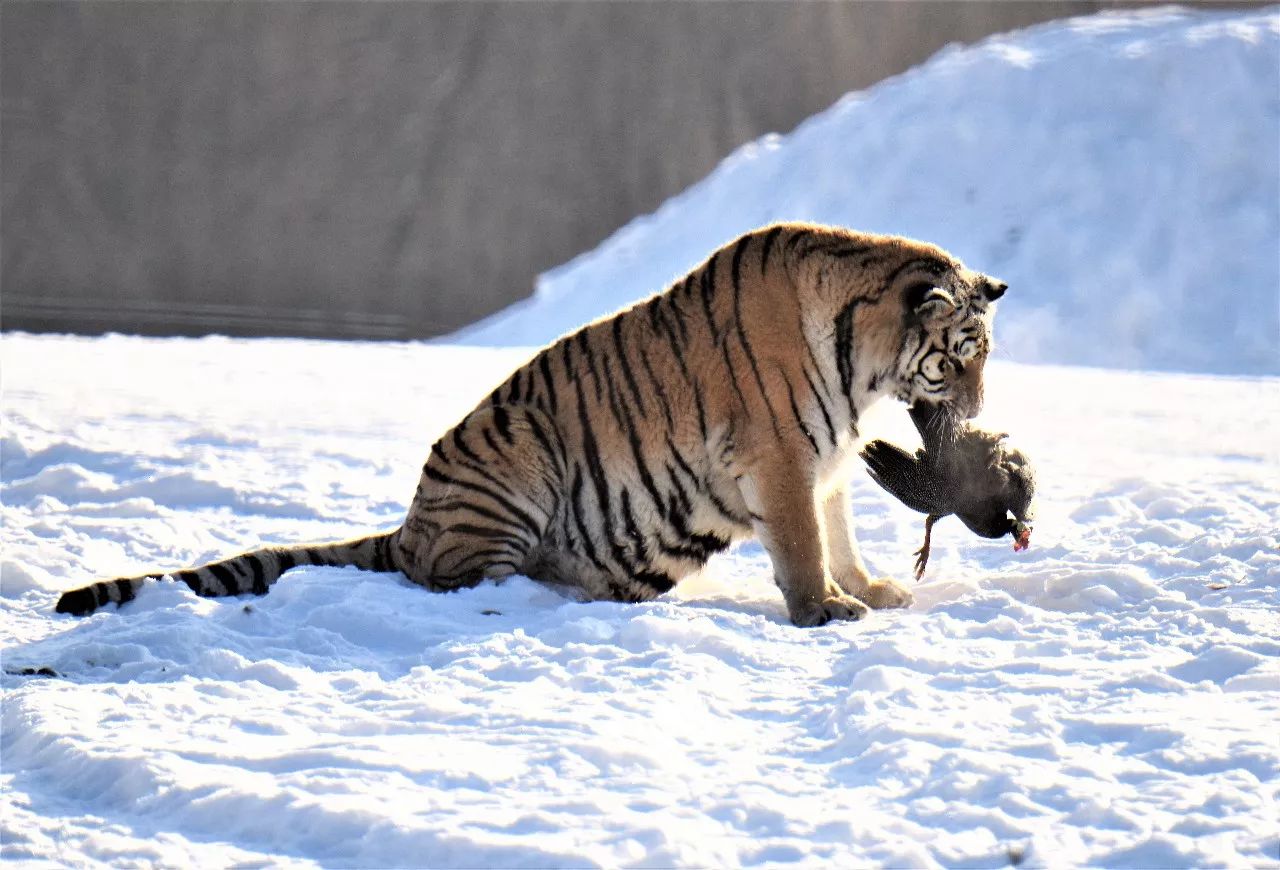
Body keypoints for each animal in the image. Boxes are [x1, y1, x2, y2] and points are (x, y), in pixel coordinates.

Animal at [52, 218, 1008, 624]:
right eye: (962, 354)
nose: (978, 407)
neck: (864, 366)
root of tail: (409, 523)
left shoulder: (827, 462)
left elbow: (839, 534)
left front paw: (873, 589)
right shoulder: (777, 458)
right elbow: (805, 548)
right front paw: (826, 611)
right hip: (515, 457)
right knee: (452, 580)